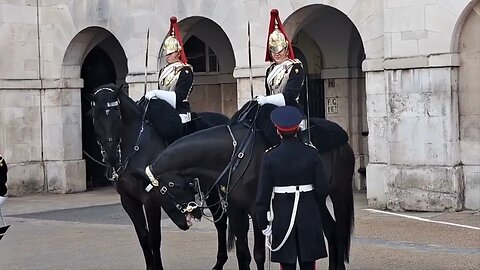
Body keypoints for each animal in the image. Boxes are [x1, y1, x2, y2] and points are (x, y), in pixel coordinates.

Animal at [91, 83, 232, 268]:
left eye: (116, 114)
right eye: (94, 117)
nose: (111, 157)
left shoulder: (151, 199)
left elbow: (154, 238)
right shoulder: (128, 200)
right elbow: (143, 237)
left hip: (212, 188)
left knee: (221, 221)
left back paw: (220, 262)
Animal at [148, 102, 354, 268]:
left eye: (165, 190)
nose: (187, 221)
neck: (235, 156)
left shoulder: (258, 211)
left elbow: (259, 255)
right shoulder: (236, 210)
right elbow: (243, 254)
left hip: (339, 191)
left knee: (340, 231)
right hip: (316, 198)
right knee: (330, 229)